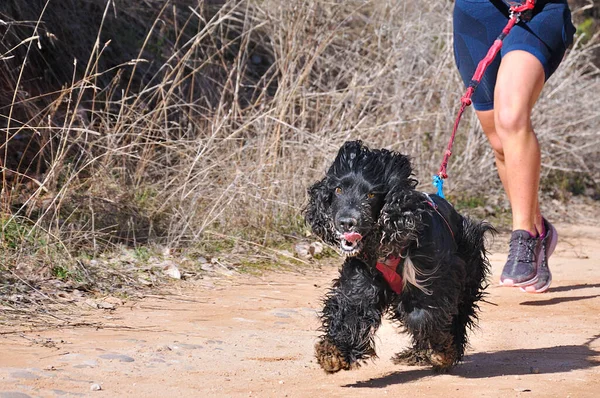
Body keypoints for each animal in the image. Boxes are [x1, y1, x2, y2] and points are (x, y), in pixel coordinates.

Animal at [308, 141, 494, 374]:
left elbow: (422, 315)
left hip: (468, 264)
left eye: (371, 195)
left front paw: (441, 351)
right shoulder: (363, 275)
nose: (346, 222)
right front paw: (333, 351)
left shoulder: (433, 278)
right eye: (338, 189)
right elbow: (353, 306)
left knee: (460, 311)